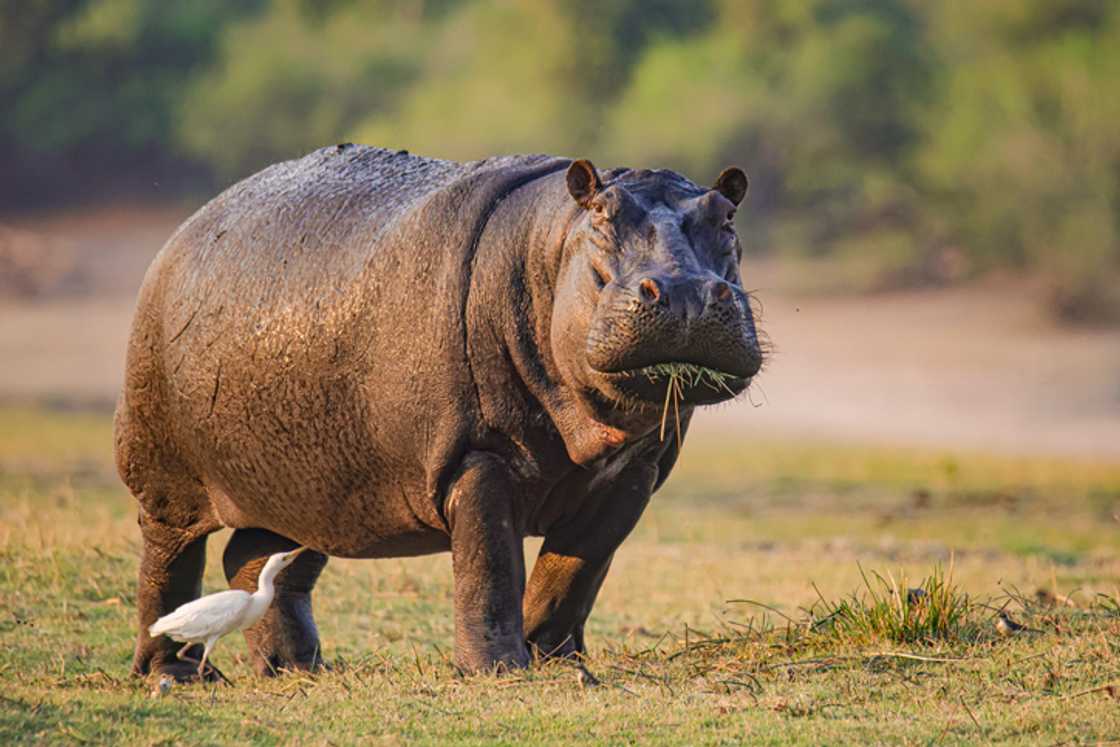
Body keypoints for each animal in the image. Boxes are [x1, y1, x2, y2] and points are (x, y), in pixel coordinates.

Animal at [114, 144, 763, 680]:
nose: (685, 292)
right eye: (603, 214)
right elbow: (490, 566)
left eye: (727, 217)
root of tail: (189, 227)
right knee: (169, 560)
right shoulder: (477, 455)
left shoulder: (634, 473)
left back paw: (297, 669)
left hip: (309, 485)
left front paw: (561, 664)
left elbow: (573, 572)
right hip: (164, 472)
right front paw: (500, 672)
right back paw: (175, 674)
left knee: (259, 559)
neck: (552, 243)